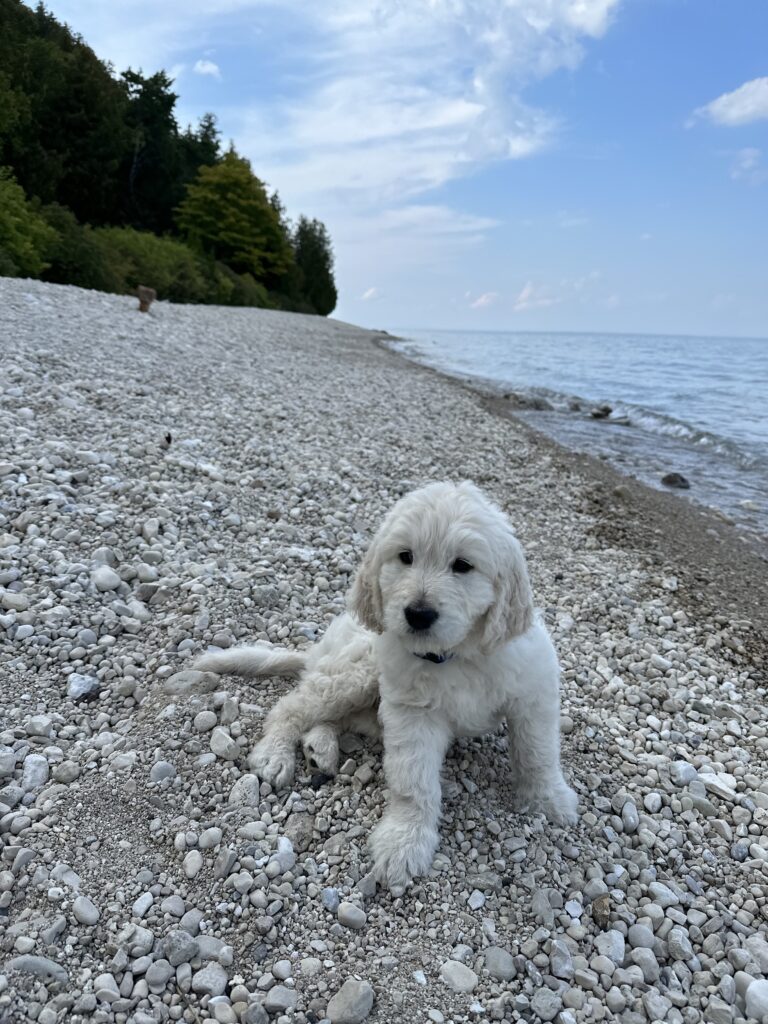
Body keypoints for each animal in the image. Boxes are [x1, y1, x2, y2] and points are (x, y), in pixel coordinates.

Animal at [195, 481, 577, 892]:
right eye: (405, 556)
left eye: (463, 565)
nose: (418, 614)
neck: (455, 655)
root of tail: (317, 650)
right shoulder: (414, 715)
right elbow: (414, 782)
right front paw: (404, 841)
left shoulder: (532, 694)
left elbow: (538, 754)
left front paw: (550, 800)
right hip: (356, 669)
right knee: (292, 707)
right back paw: (275, 755)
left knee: (330, 718)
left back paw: (320, 749)